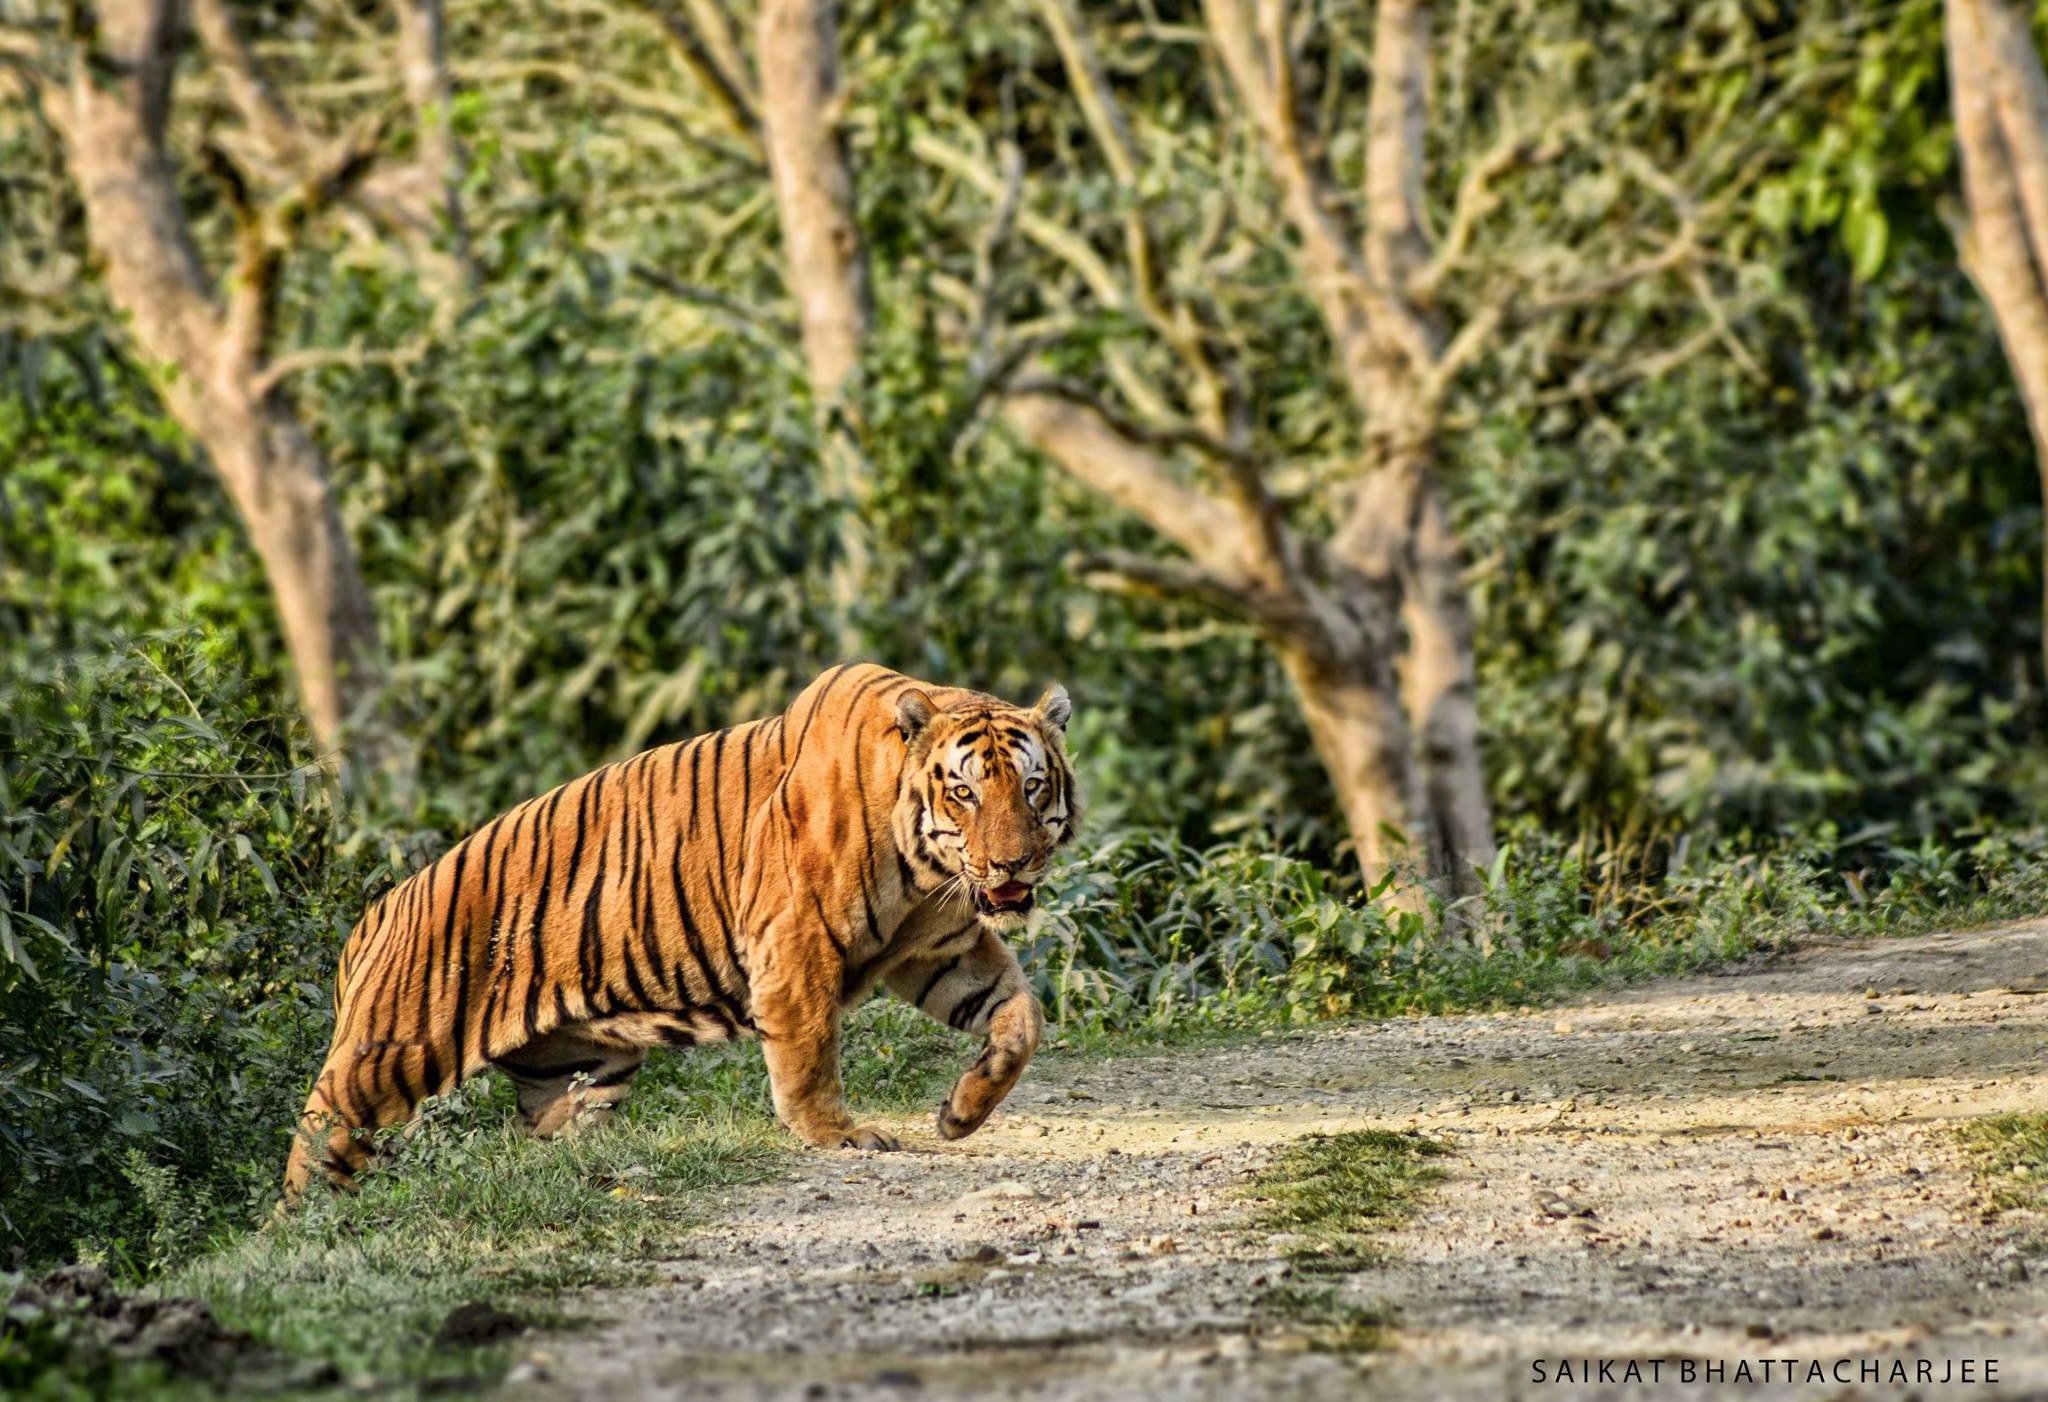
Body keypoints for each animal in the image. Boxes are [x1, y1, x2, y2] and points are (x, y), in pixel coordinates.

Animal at [280, 663, 1081, 1195]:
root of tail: (371, 919)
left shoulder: (941, 946)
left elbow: (1020, 1015)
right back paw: (313, 1230)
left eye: (1032, 786)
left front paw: (961, 1113)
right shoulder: (798, 939)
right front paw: (838, 1134)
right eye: (965, 792)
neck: (924, 870)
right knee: (314, 1152)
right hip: (382, 1065)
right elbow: (809, 1051)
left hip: (578, 1073)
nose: (1011, 863)